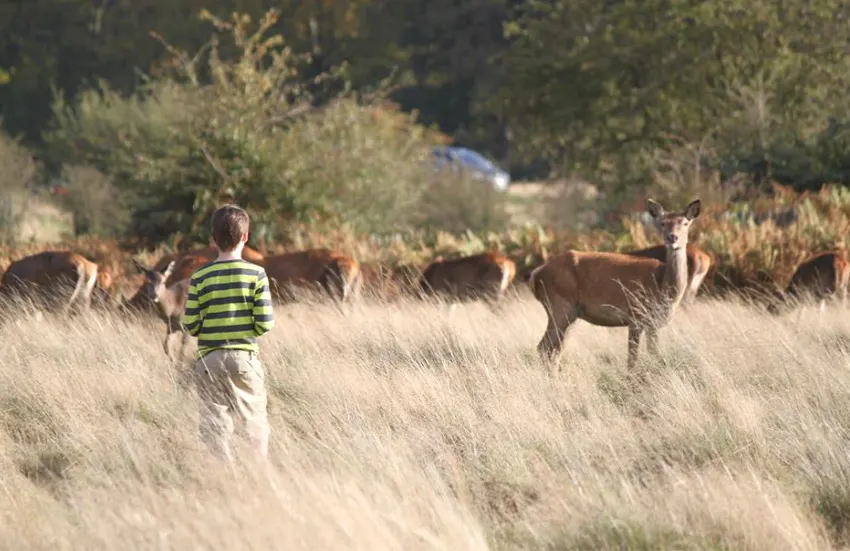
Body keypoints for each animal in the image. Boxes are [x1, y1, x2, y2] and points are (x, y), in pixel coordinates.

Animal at [528, 201, 704, 374]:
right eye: (662, 223)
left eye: (685, 223)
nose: (672, 237)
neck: (663, 288)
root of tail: (536, 274)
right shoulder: (635, 316)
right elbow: (632, 360)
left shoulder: (653, 324)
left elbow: (655, 355)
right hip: (560, 307)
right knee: (545, 348)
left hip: (570, 314)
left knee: (554, 349)